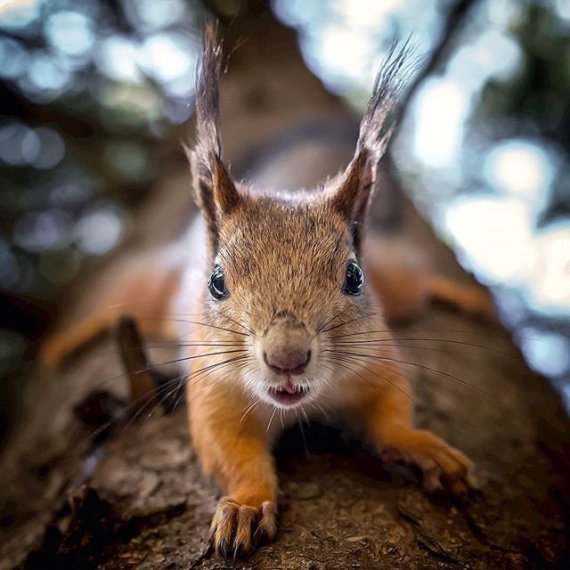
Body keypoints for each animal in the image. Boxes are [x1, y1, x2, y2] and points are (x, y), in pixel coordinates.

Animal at [41, 23, 492, 560]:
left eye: (354, 277)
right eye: (216, 282)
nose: (287, 357)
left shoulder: (377, 360)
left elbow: (392, 415)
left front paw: (425, 447)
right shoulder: (214, 391)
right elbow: (231, 454)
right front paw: (246, 505)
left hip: (396, 287)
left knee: (416, 282)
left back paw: (470, 298)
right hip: (153, 294)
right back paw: (63, 342)